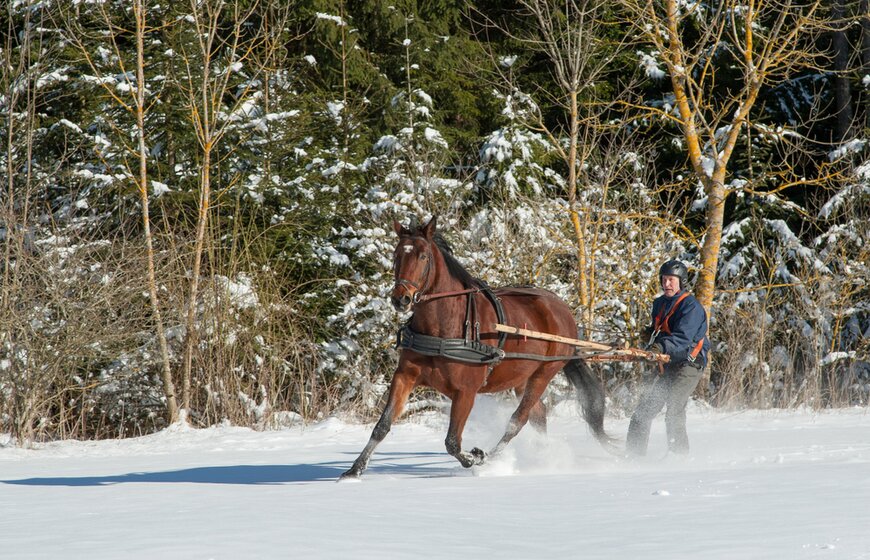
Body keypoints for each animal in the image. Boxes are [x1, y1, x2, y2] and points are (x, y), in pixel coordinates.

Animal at [340, 216, 613, 479]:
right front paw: (355, 470)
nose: (401, 298)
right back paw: (543, 457)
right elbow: (382, 426)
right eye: (397, 255)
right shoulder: (405, 376)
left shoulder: (466, 391)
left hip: (544, 373)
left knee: (518, 420)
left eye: (423, 256)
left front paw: (475, 458)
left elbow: (452, 442)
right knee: (538, 415)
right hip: (522, 377)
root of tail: (563, 310)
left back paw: (492, 456)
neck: (444, 327)